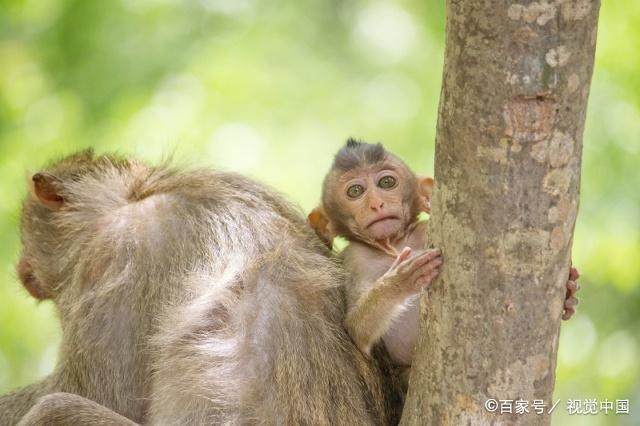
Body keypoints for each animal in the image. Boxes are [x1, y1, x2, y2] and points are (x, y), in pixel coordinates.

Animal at [308, 139, 584, 370]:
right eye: (355, 191)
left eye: (386, 183)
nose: (376, 204)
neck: (393, 245)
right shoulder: (353, 261)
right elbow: (356, 331)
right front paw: (398, 281)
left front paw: (569, 290)